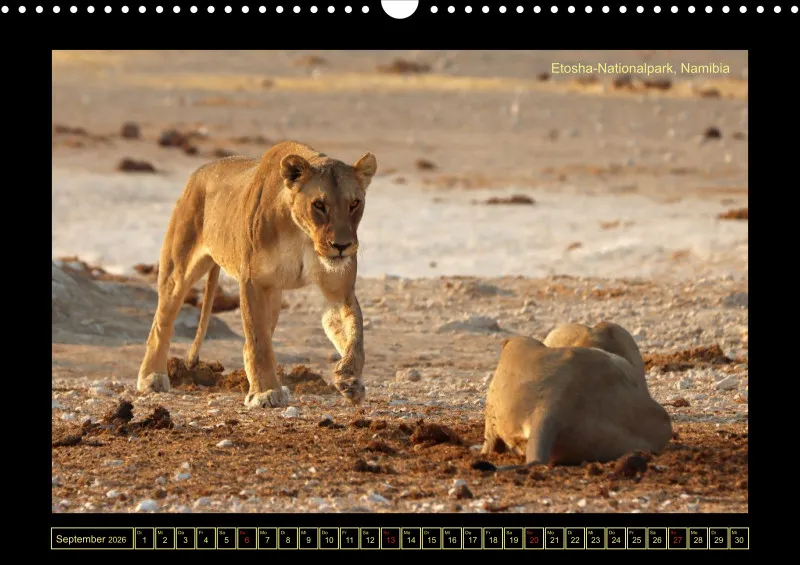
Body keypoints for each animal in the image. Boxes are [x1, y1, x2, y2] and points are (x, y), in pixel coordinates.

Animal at [136, 141, 377, 408]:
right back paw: (152, 378)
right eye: (319, 205)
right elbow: (258, 341)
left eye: (354, 204)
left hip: (274, 294)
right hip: (178, 269)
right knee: (161, 323)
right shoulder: (253, 282)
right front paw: (266, 392)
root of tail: (200, 171)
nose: (342, 246)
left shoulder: (338, 290)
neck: (302, 234)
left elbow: (355, 334)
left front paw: (350, 379)